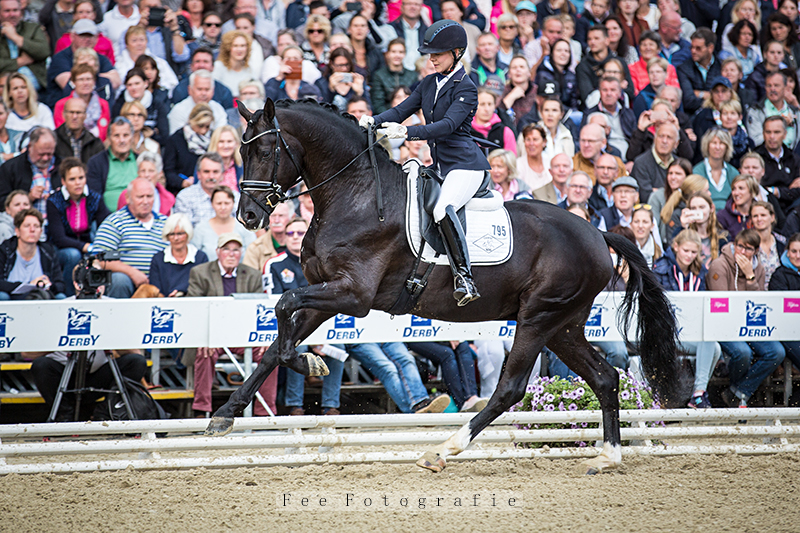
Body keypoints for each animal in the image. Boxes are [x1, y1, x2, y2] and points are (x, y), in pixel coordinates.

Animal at [206, 98, 686, 475]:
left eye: (266, 148)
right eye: (242, 150)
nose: (248, 215)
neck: (353, 195)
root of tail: (597, 234)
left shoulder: (352, 295)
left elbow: (283, 308)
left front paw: (310, 364)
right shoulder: (327, 293)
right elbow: (275, 343)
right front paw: (225, 415)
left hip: (540, 317)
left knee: (510, 389)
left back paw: (441, 450)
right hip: (563, 325)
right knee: (605, 377)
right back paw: (607, 456)